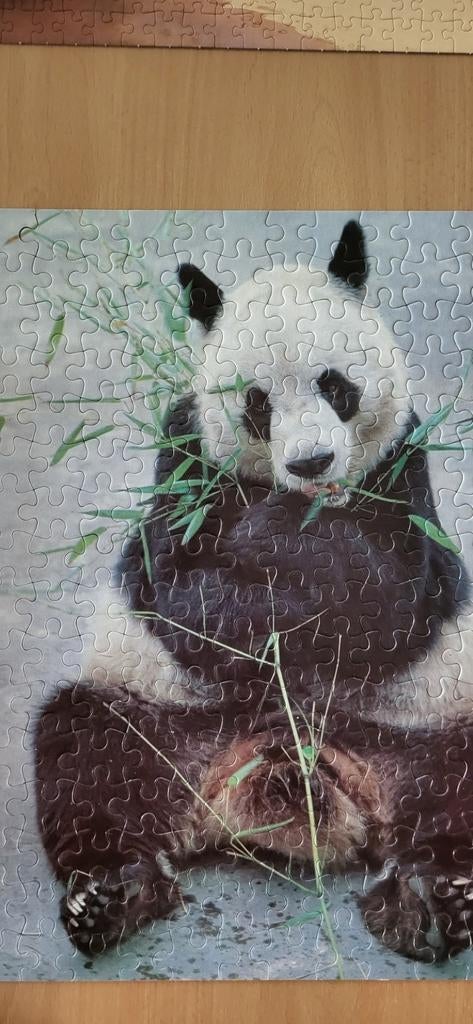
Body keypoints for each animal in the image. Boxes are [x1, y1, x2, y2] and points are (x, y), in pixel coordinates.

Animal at [35, 220, 473, 964]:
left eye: (335, 385)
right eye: (257, 402)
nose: (311, 461)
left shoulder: (401, 465)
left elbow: (391, 598)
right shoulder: (184, 455)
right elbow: (179, 592)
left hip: (420, 719)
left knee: (453, 786)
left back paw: (425, 898)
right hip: (167, 717)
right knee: (88, 750)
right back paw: (114, 892)